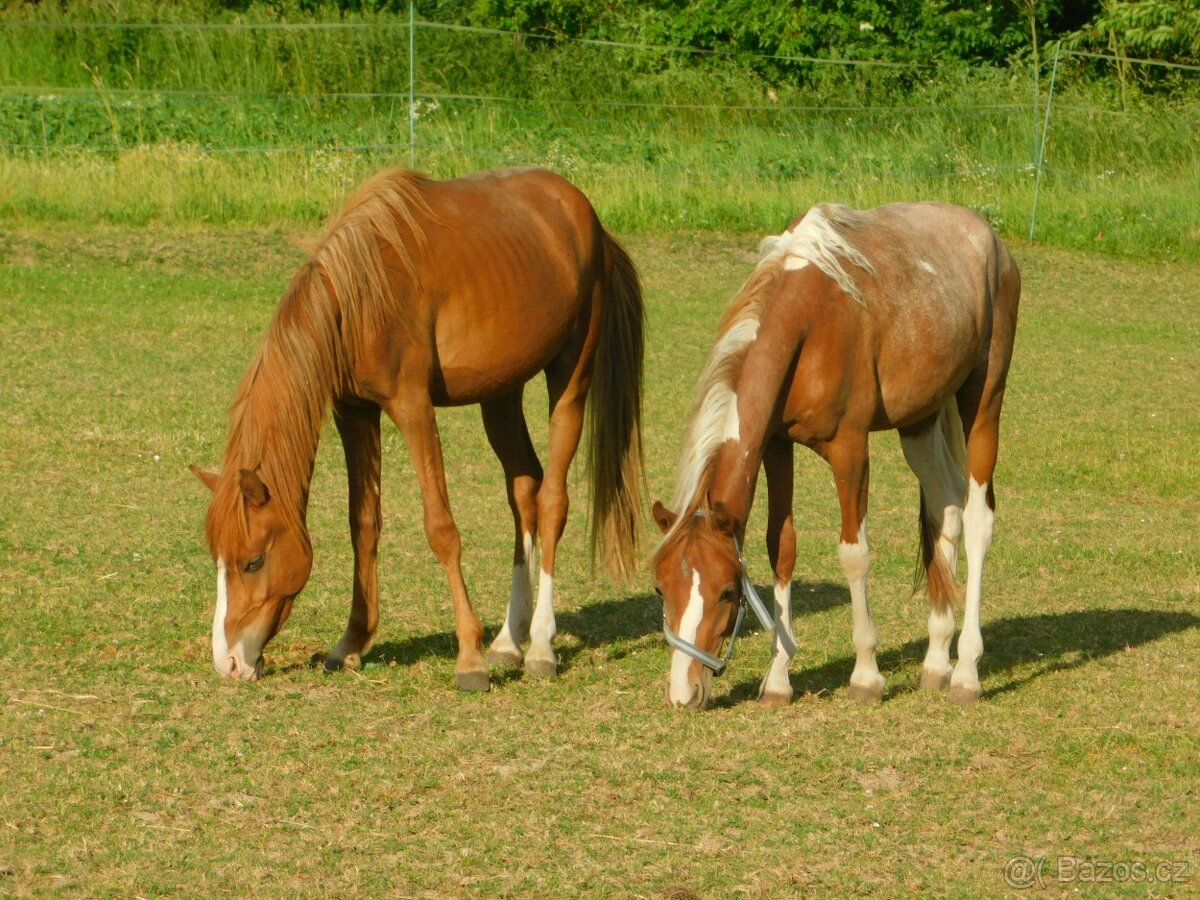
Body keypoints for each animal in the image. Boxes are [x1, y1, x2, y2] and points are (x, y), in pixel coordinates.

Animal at [190, 166, 645, 692]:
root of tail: (587, 216)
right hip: (501, 392)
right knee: (524, 491)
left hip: (571, 376)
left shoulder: (412, 408)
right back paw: (509, 640)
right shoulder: (354, 411)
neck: (360, 296)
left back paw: (540, 646)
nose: (228, 662)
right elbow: (363, 524)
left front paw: (468, 657)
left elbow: (441, 527)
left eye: (253, 561)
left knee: (552, 500)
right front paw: (351, 642)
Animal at [651, 201, 1020, 709]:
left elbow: (854, 554)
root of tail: (989, 236)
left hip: (983, 405)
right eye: (660, 588)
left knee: (978, 520)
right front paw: (778, 679)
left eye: (727, 592)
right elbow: (781, 547)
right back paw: (936, 661)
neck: (810, 319)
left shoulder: (850, 449)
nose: (684, 691)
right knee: (946, 506)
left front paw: (866, 675)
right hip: (919, 421)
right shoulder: (776, 446)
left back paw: (966, 671)